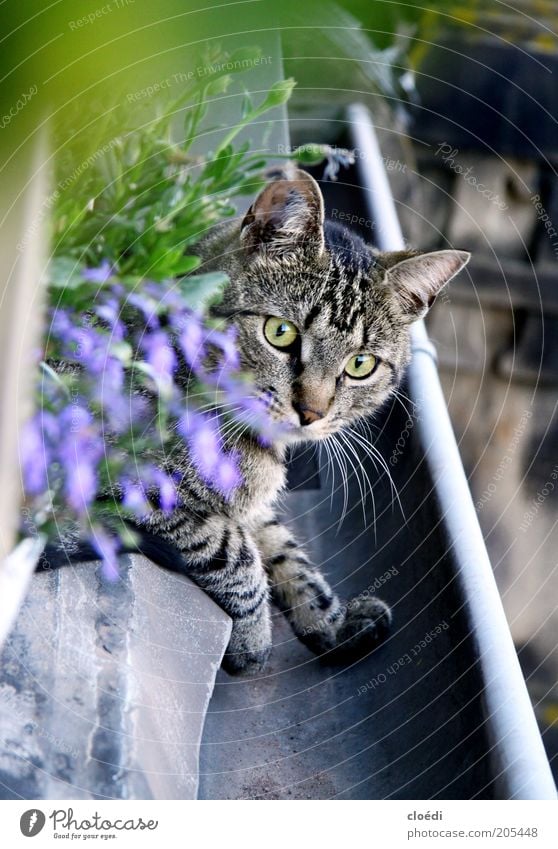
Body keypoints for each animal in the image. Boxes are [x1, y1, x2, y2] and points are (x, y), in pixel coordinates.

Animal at [44, 171, 472, 676]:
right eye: (280, 333)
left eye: (361, 364)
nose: (311, 412)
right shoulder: (114, 478)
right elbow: (228, 546)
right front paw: (252, 638)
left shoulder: (259, 512)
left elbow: (286, 551)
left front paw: (332, 623)